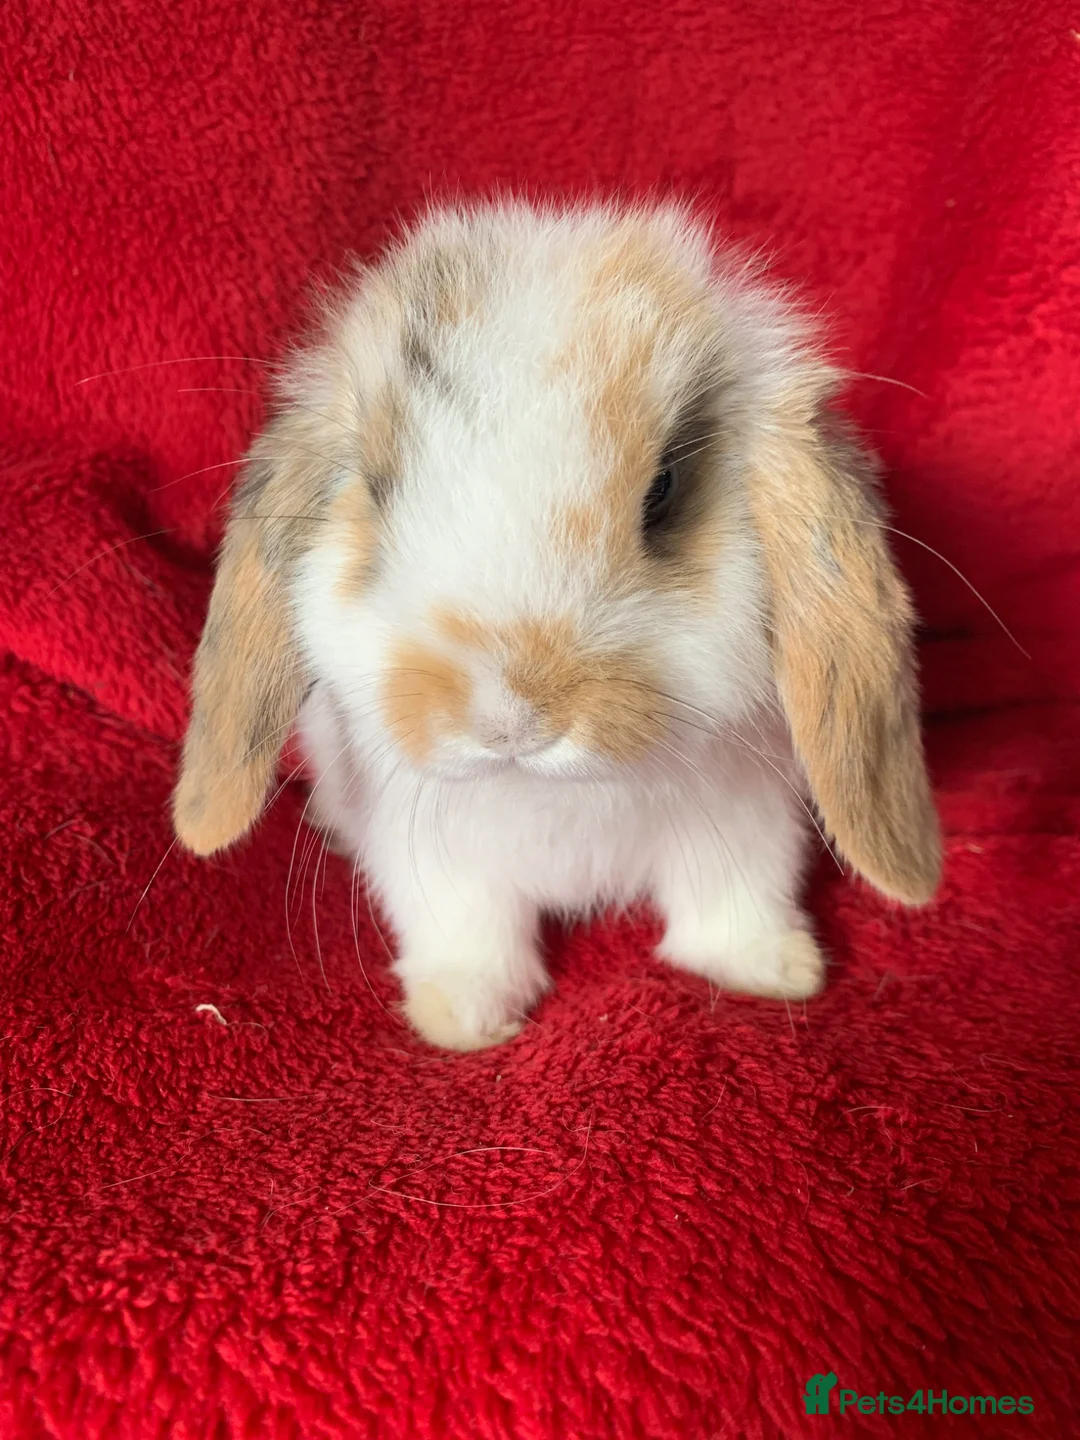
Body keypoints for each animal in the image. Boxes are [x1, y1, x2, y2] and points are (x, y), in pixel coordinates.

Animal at [172, 199, 942, 1051]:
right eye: (374, 486)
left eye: (664, 491)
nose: (509, 718)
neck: (551, 791)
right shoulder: (432, 856)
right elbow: (468, 933)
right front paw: (462, 1020)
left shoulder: (747, 823)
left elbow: (731, 902)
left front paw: (771, 972)